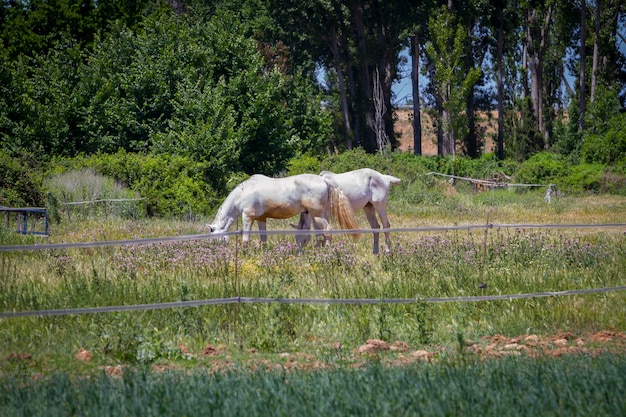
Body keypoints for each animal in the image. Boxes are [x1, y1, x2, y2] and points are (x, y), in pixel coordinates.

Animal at [207, 172, 358, 244]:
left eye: (215, 238)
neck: (243, 192)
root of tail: (324, 180)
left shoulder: (248, 217)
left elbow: (245, 239)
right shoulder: (261, 219)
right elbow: (263, 238)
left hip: (318, 216)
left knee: (327, 231)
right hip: (319, 215)